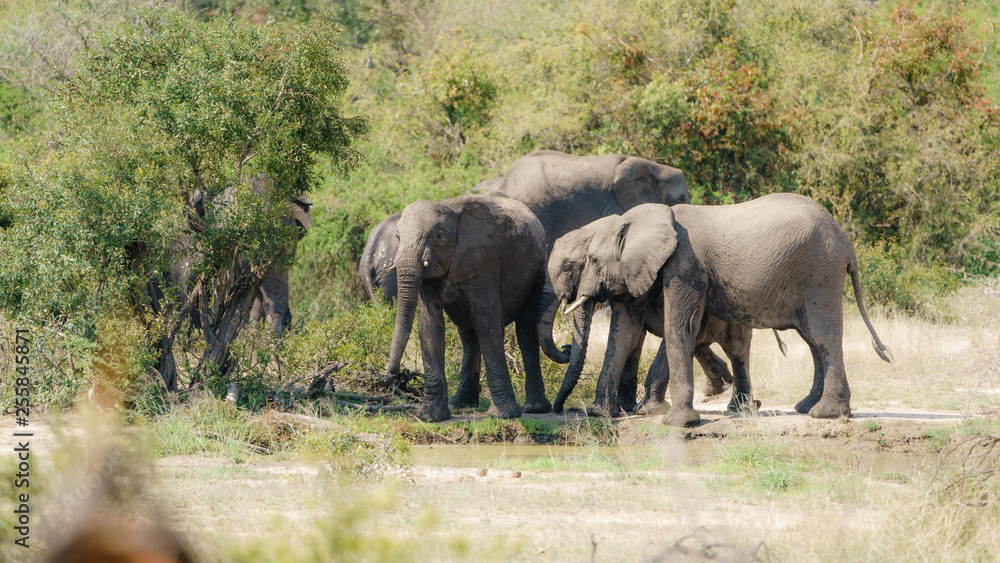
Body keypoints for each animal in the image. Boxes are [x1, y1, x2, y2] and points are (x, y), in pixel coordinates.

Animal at [386, 192, 569, 421]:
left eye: (439, 235)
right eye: (398, 237)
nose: (394, 372)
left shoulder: (485, 259)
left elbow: (486, 321)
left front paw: (503, 415)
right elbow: (429, 325)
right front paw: (429, 417)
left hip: (538, 270)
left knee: (525, 332)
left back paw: (535, 408)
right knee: (469, 337)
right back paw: (460, 403)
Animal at [565, 194, 891, 426]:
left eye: (593, 261)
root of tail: (845, 241)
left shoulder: (686, 266)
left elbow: (681, 326)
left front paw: (678, 423)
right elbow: (624, 334)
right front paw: (600, 414)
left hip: (819, 273)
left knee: (823, 337)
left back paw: (826, 414)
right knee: (812, 340)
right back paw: (805, 407)